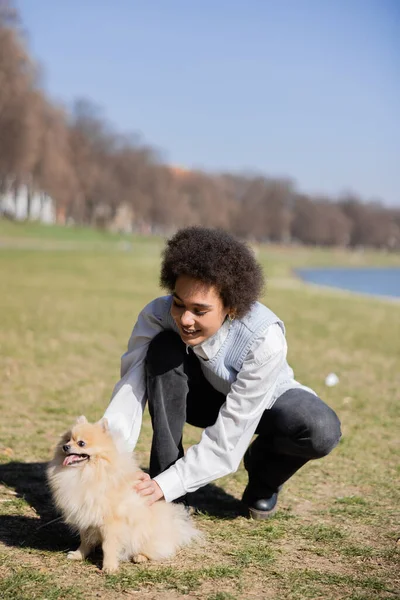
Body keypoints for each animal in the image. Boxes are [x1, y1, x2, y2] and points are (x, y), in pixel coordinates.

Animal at [47, 418, 198, 572]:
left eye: (81, 443)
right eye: (67, 439)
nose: (65, 447)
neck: (85, 473)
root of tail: (174, 530)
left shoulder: (111, 523)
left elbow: (108, 546)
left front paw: (109, 566)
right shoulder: (86, 517)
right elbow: (85, 540)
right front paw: (79, 554)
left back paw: (140, 556)